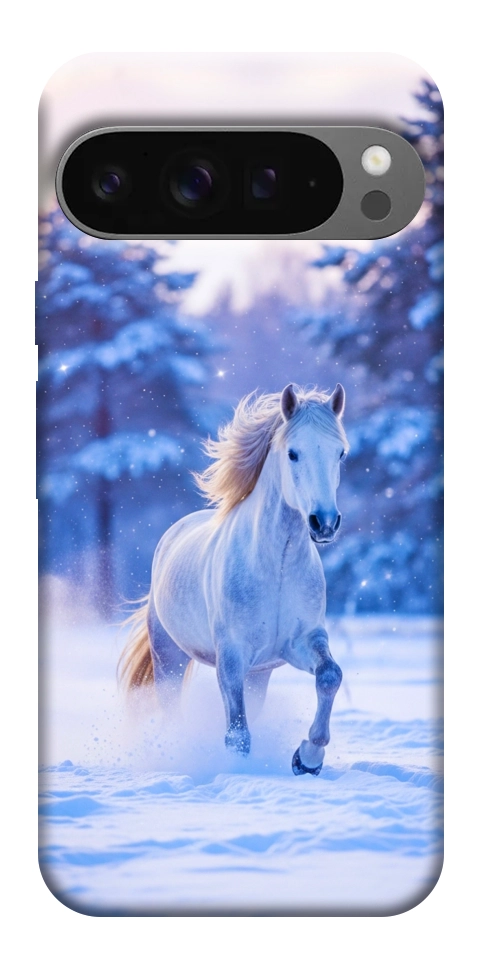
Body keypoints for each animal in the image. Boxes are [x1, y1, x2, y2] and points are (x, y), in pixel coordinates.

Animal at [119, 382, 348, 775]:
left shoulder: (301, 642)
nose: (324, 523)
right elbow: (237, 734)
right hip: (169, 658)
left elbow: (330, 676)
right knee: (171, 709)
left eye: (340, 454)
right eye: (293, 453)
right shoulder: (231, 656)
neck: (276, 567)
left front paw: (307, 758)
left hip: (259, 674)